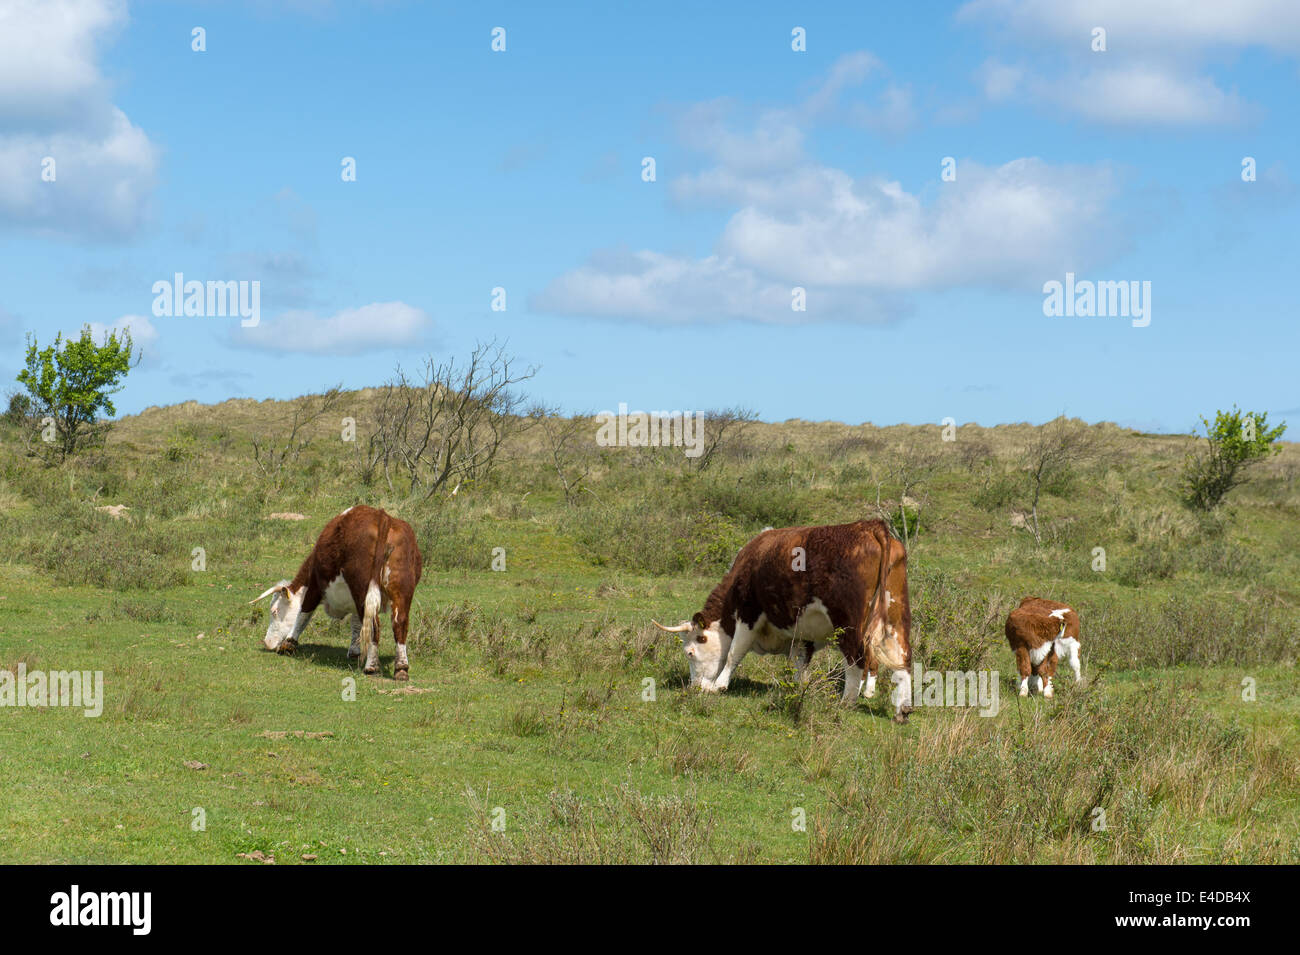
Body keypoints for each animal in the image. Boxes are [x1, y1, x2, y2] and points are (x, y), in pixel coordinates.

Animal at [248, 509, 421, 680]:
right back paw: (401, 668)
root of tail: (383, 517)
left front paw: (289, 644)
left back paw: (371, 667)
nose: (267, 642)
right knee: (399, 623)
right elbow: (357, 623)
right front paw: (354, 651)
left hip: (363, 588)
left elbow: (304, 613)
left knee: (374, 624)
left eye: (274, 611)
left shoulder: (315, 587)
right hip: (401, 591)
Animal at [650, 519, 915, 722]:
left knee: (857, 658)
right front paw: (798, 688)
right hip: (896, 615)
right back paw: (902, 708)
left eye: (690, 653)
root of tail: (870, 526)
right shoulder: (802, 632)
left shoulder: (749, 613)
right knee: (902, 657)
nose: (695, 687)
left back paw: (846, 702)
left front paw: (719, 685)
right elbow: (800, 662)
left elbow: (735, 651)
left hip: (849, 623)